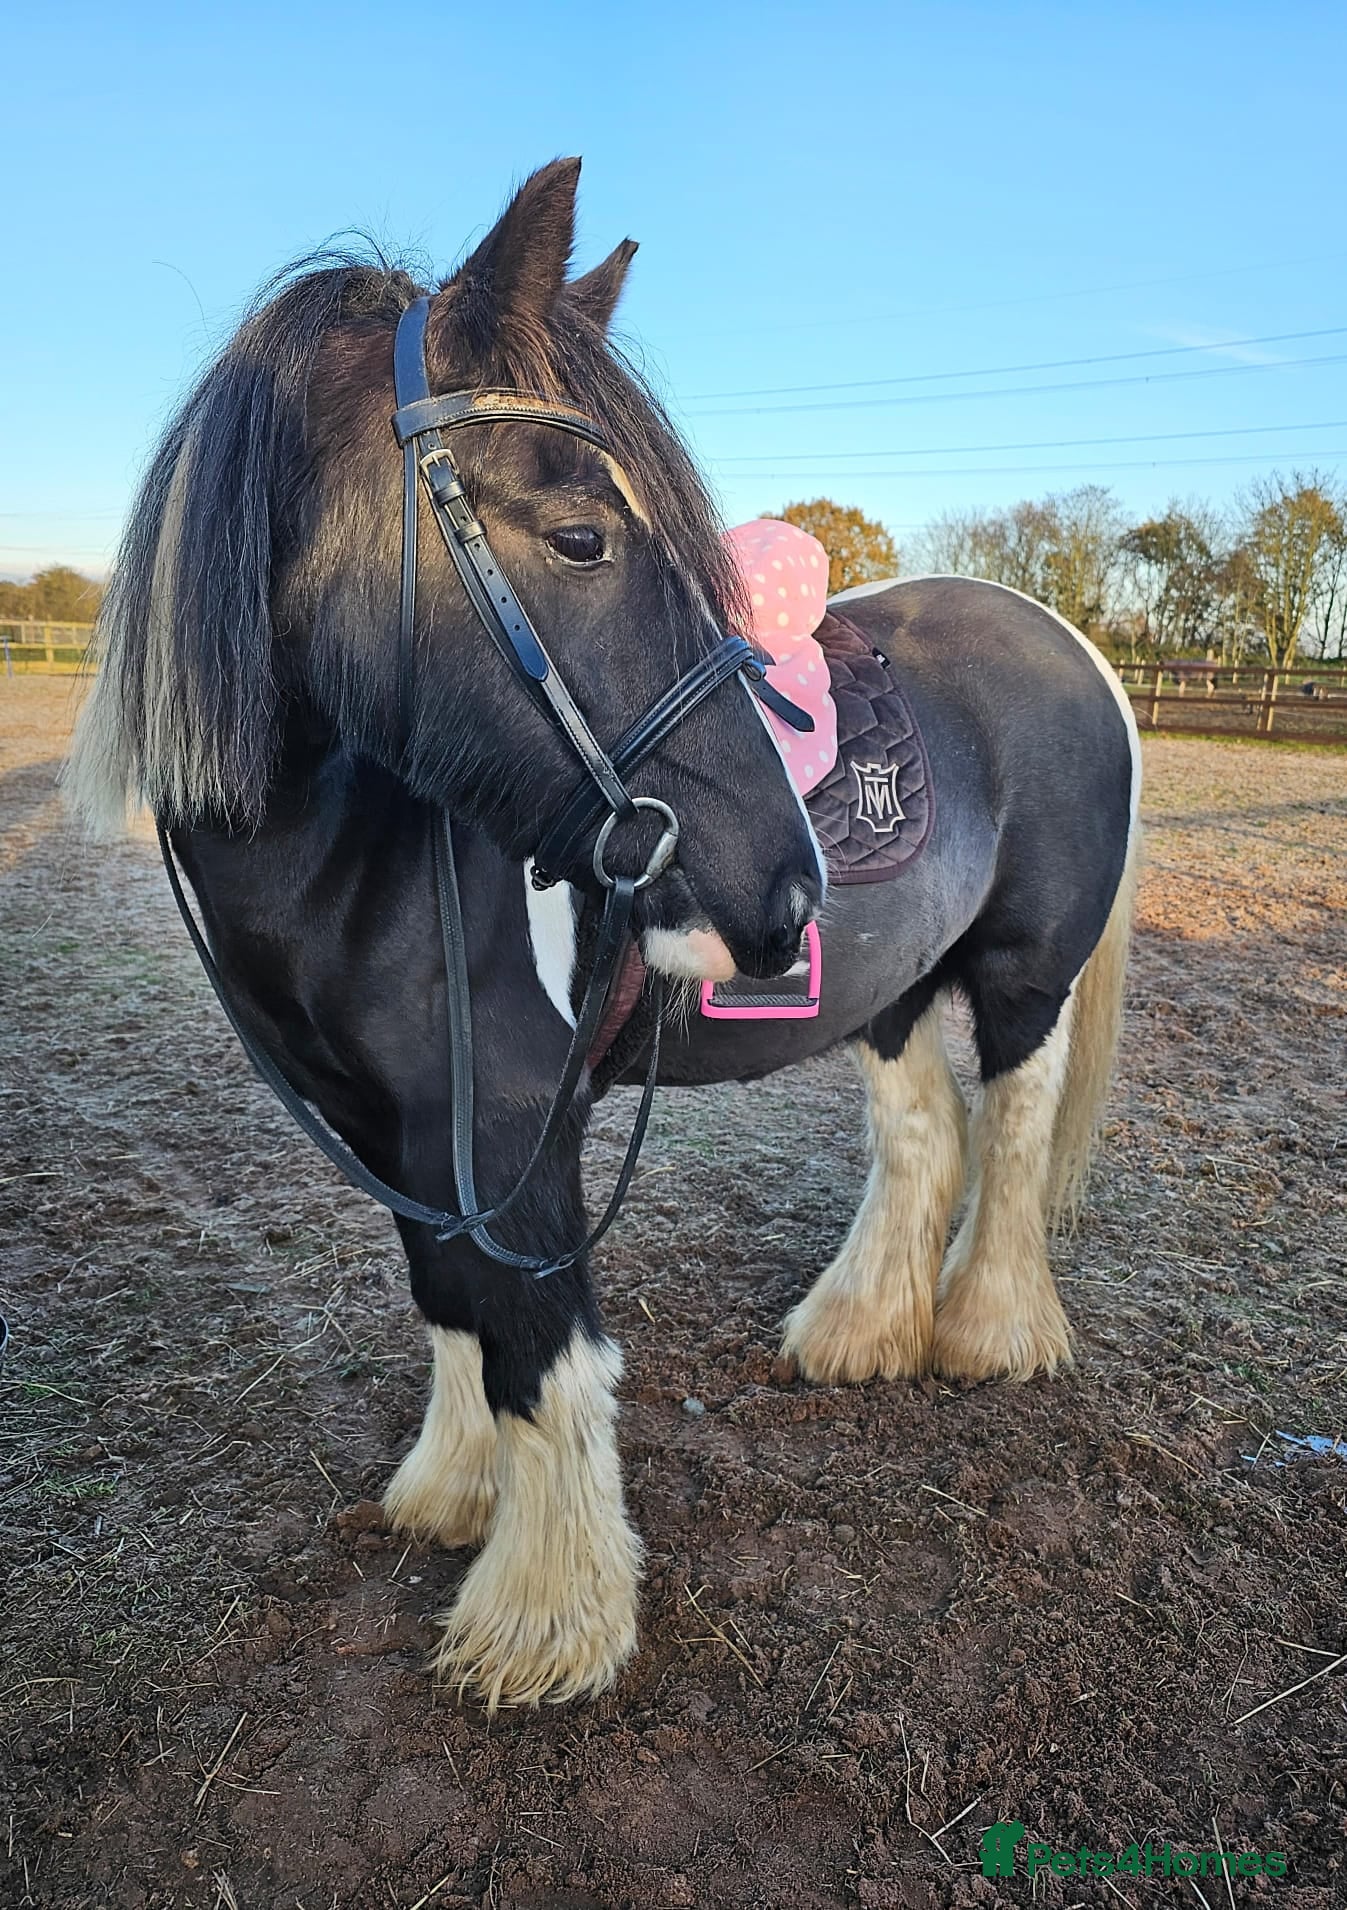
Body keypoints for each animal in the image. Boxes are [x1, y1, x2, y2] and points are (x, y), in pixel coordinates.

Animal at [66, 159, 1139, 1712]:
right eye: (582, 537)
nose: (786, 883)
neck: (350, 842)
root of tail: (1064, 638)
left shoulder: (517, 1125)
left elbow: (542, 1352)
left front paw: (546, 1617)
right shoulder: (406, 1135)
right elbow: (451, 1307)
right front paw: (453, 1494)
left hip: (1020, 978)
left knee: (1011, 1127)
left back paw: (989, 1331)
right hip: (884, 991)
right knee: (922, 1136)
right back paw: (859, 1332)